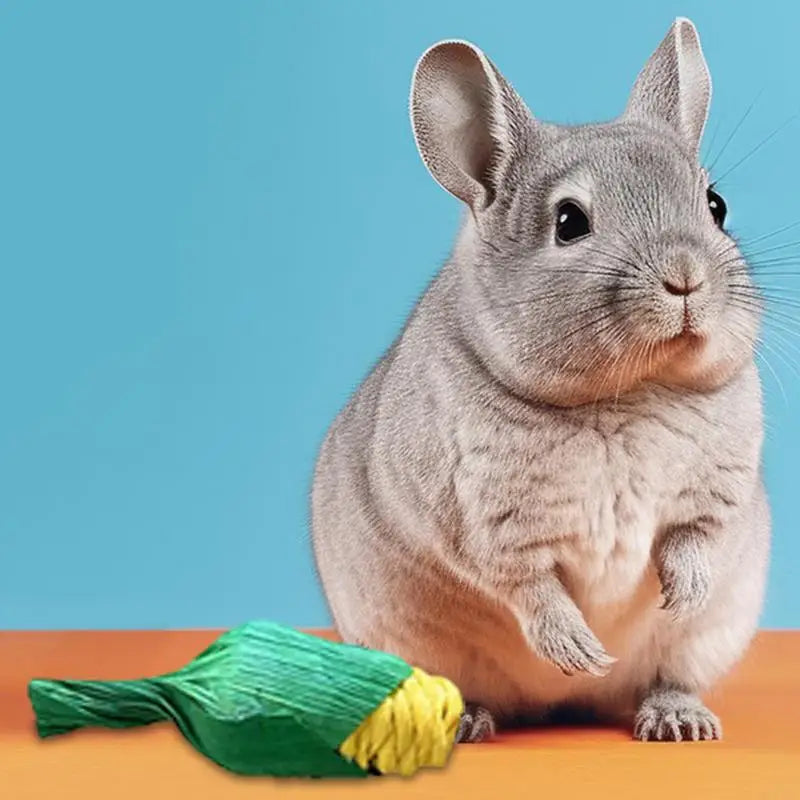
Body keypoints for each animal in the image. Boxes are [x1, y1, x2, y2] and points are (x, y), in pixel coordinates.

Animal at [311, 17, 770, 743]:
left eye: (716, 204)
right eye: (569, 222)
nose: (685, 278)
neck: (625, 396)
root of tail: (560, 706)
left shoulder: (716, 491)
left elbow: (696, 538)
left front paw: (680, 593)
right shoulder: (482, 525)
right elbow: (529, 587)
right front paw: (579, 650)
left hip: (711, 638)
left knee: (667, 676)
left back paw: (676, 717)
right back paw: (473, 717)